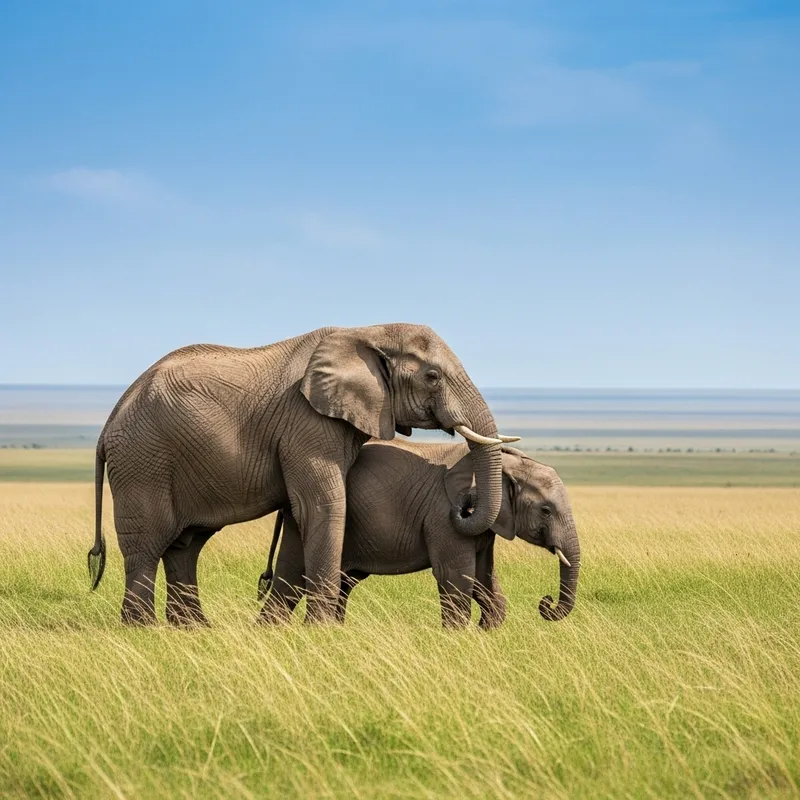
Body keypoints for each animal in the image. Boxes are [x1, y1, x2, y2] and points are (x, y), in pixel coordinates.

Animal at [87, 323, 518, 625]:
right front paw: (323, 630)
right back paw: (143, 630)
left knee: (185, 545)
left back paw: (193, 630)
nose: (463, 509)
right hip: (143, 461)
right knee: (146, 545)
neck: (367, 331)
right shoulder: (307, 423)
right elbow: (323, 505)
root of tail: (109, 423)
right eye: (432, 377)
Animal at [258, 441, 580, 628]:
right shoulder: (442, 516)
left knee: (340, 583)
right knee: (291, 579)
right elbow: (456, 576)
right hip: (306, 518)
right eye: (546, 511)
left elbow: (482, 577)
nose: (546, 603)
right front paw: (458, 639)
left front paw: (484, 632)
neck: (504, 464)